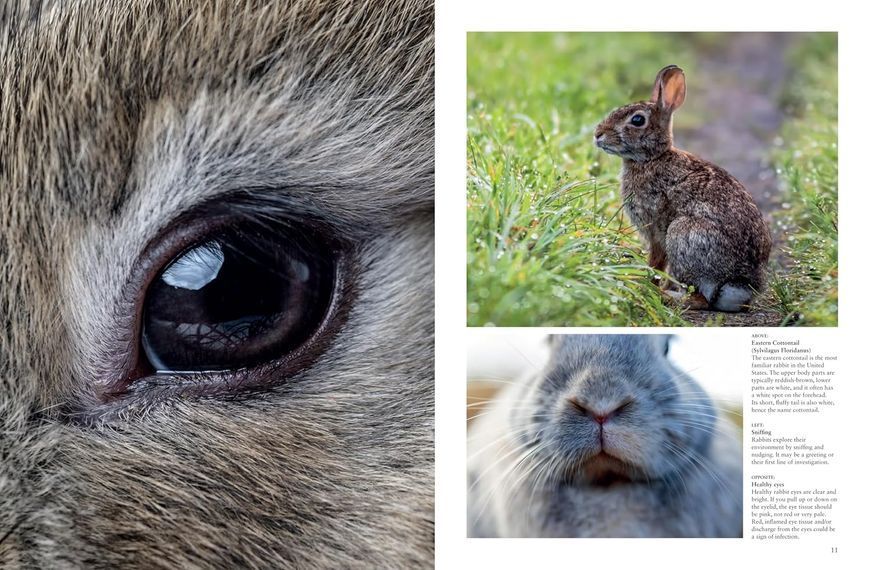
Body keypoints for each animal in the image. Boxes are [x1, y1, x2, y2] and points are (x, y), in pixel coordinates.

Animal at [594, 65, 771, 312]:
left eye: (637, 120)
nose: (598, 134)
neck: (652, 158)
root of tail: (740, 283)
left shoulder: (655, 229)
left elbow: (656, 261)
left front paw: (646, 284)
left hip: (682, 234)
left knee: (701, 299)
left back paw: (666, 296)